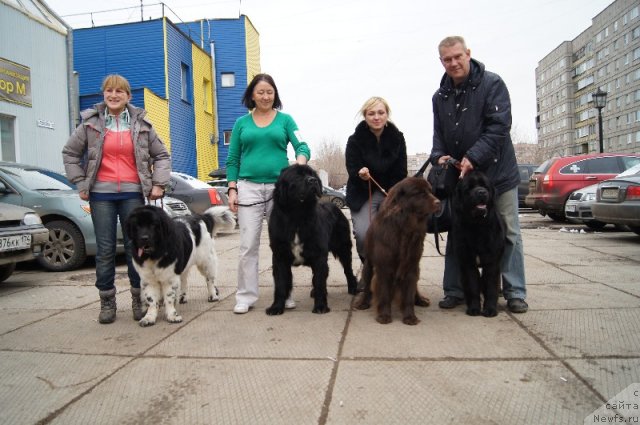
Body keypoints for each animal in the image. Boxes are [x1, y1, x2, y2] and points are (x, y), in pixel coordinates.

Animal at [266, 164, 360, 314]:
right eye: (297, 176)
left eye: (312, 175)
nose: (313, 180)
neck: (297, 216)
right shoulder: (279, 255)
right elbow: (280, 283)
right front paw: (276, 307)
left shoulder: (319, 254)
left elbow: (319, 280)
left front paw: (320, 306)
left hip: (343, 247)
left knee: (347, 269)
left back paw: (352, 287)